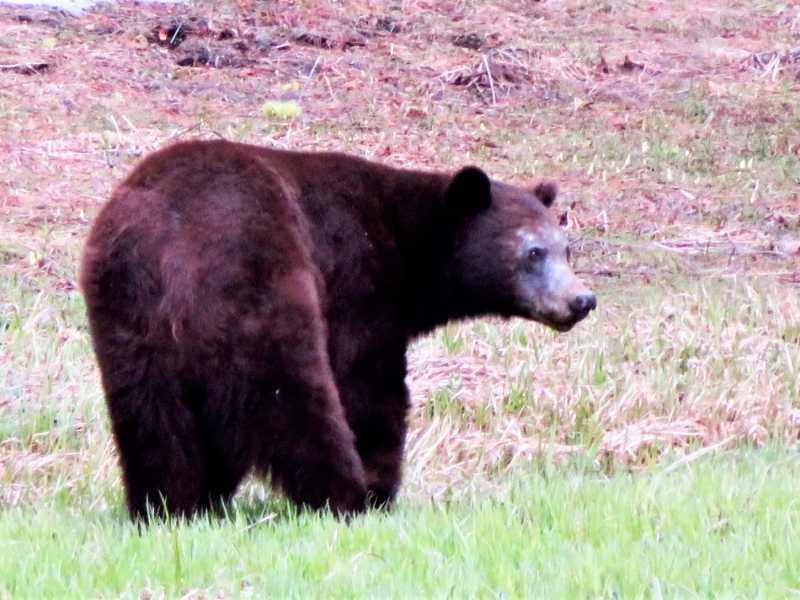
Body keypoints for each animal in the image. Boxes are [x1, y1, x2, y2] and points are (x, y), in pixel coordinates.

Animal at [81, 139, 596, 520]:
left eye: (565, 248)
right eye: (533, 252)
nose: (582, 300)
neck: (406, 243)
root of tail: (168, 241)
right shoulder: (357, 278)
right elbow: (368, 385)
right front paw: (380, 486)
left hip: (127, 317)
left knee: (153, 418)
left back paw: (167, 504)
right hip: (258, 276)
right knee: (290, 394)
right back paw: (343, 494)